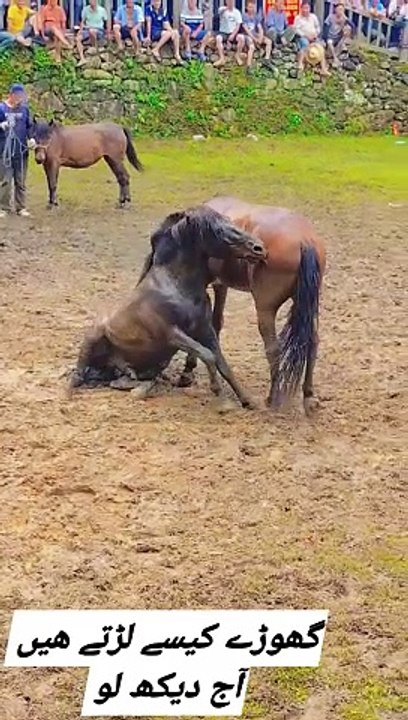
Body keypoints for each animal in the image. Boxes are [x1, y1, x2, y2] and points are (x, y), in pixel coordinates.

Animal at [69, 205, 266, 408]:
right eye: (217, 230)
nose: (259, 248)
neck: (178, 288)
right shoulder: (171, 334)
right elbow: (207, 355)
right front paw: (218, 394)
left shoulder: (205, 330)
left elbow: (222, 363)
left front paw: (248, 401)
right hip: (92, 339)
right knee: (77, 377)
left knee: (129, 380)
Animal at [167, 196, 327, 416]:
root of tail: (305, 240)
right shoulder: (221, 285)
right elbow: (216, 324)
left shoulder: (211, 285)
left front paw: (187, 372)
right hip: (307, 306)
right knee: (312, 342)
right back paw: (309, 396)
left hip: (265, 308)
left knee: (273, 348)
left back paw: (273, 398)